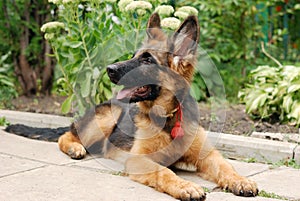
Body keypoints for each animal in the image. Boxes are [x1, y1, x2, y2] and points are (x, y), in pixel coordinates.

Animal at [19, 13, 258, 200]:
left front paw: (241, 180)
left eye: (147, 60)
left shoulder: (208, 156)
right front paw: (186, 186)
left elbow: (226, 166)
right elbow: (164, 173)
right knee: (66, 135)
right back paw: (75, 148)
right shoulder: (139, 159)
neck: (167, 116)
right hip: (105, 119)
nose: (109, 69)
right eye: (133, 56)